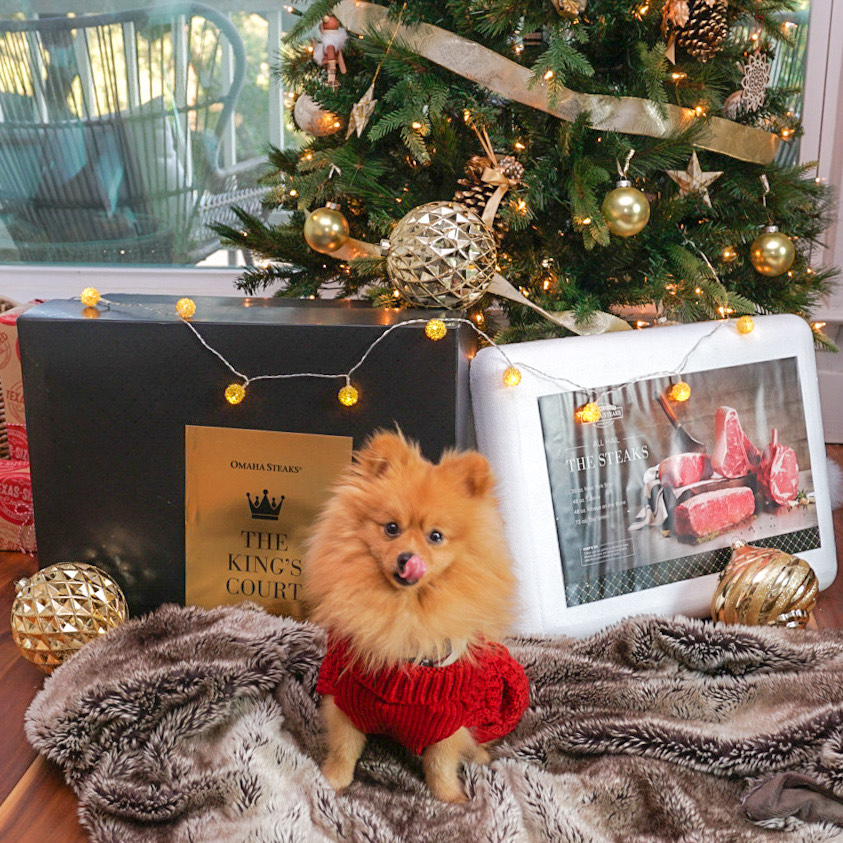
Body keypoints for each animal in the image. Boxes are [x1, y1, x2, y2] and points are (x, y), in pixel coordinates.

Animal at [304, 436, 528, 804]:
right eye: (391, 528)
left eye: (435, 536)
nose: (407, 558)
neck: (406, 612)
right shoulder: (345, 699)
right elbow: (343, 749)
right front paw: (331, 782)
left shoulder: (448, 720)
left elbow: (440, 764)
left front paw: (451, 799)